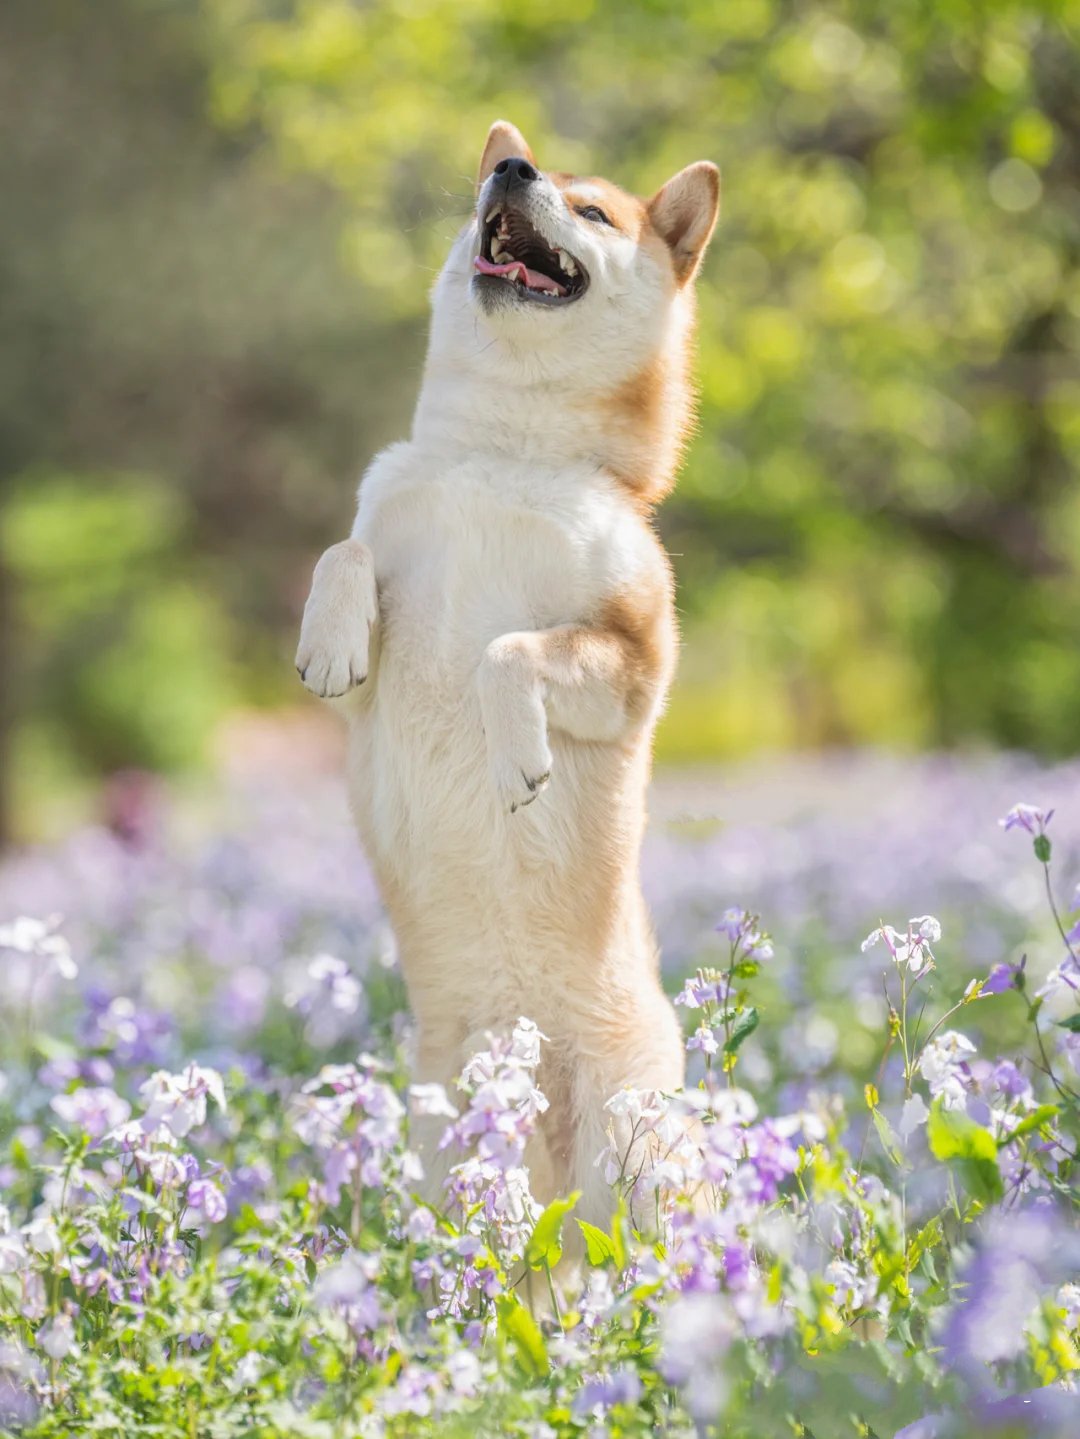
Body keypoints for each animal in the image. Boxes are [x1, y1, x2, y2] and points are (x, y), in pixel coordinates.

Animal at [296, 126, 719, 1226]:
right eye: (508, 173)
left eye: (596, 209)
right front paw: (329, 639)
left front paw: (516, 754)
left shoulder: (631, 662)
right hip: (454, 1153)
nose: (509, 171)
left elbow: (509, 651)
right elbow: (344, 551)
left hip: (636, 1145)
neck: (502, 454)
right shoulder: (378, 584)